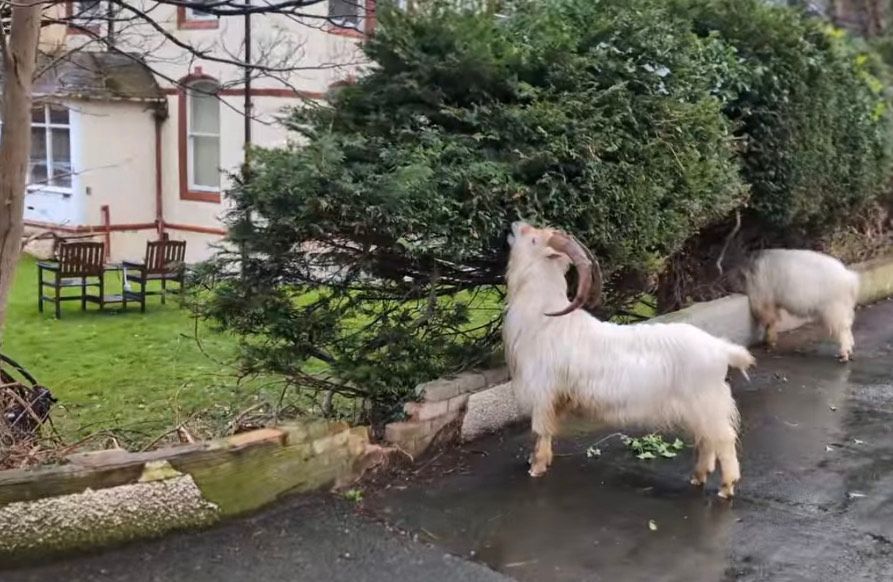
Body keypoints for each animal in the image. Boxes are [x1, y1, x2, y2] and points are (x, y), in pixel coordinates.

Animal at [503, 221, 754, 498]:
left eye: (534, 240)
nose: (516, 225)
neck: (545, 318)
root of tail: (721, 349)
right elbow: (547, 434)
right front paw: (543, 460)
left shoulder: (542, 393)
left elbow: (539, 431)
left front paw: (536, 468)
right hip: (701, 409)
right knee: (707, 441)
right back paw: (698, 477)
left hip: (708, 404)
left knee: (723, 440)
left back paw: (726, 487)